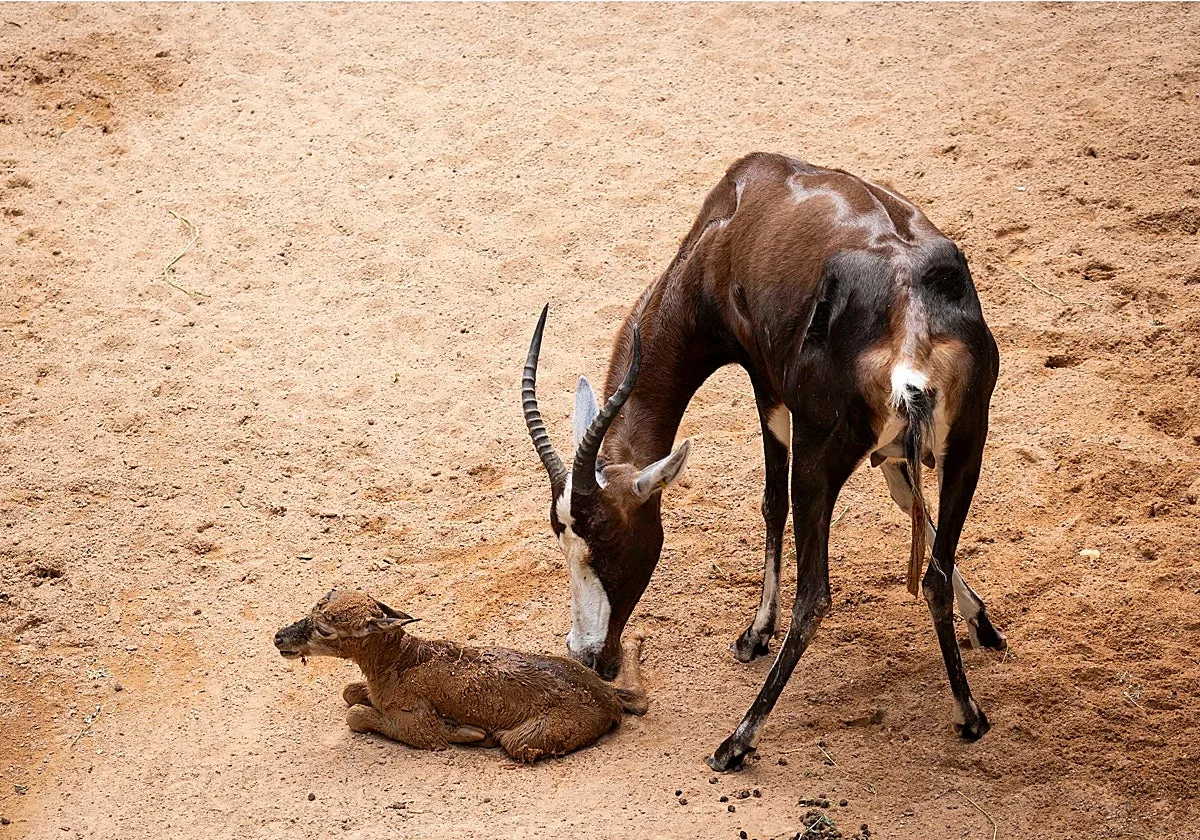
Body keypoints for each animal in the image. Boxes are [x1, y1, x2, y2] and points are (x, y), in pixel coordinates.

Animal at [274, 590, 648, 762]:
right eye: (312, 610)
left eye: (325, 629)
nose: (279, 638)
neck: (398, 664)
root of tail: (608, 703)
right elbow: (350, 692)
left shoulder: (416, 726)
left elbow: (355, 714)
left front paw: (467, 732)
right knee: (639, 700)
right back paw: (635, 642)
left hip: (524, 739)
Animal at [521, 152, 1007, 772]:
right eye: (560, 537)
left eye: (607, 543)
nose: (588, 656)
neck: (736, 213)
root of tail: (912, 325)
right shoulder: (902, 452)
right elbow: (908, 505)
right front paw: (985, 624)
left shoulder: (766, 384)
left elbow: (772, 502)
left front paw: (755, 634)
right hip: (967, 448)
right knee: (934, 576)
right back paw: (970, 715)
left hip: (820, 463)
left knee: (815, 594)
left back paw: (737, 740)